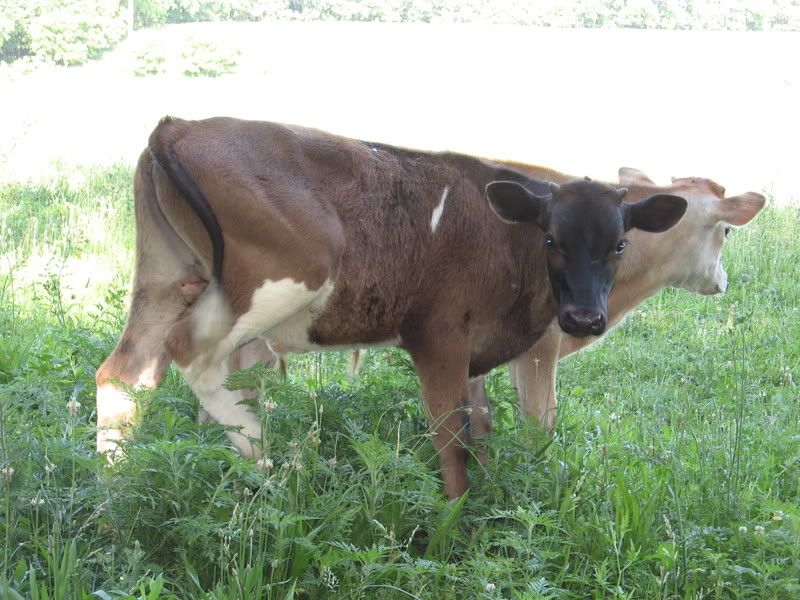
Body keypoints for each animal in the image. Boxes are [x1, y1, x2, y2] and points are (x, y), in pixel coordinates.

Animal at [95, 117, 686, 498]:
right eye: (551, 240)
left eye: (620, 244)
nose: (584, 317)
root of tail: (178, 126)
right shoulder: (438, 336)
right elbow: (453, 443)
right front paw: (454, 532)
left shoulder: (474, 353)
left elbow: (483, 430)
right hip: (279, 277)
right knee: (194, 356)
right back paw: (268, 466)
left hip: (166, 277)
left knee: (125, 375)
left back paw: (112, 493)